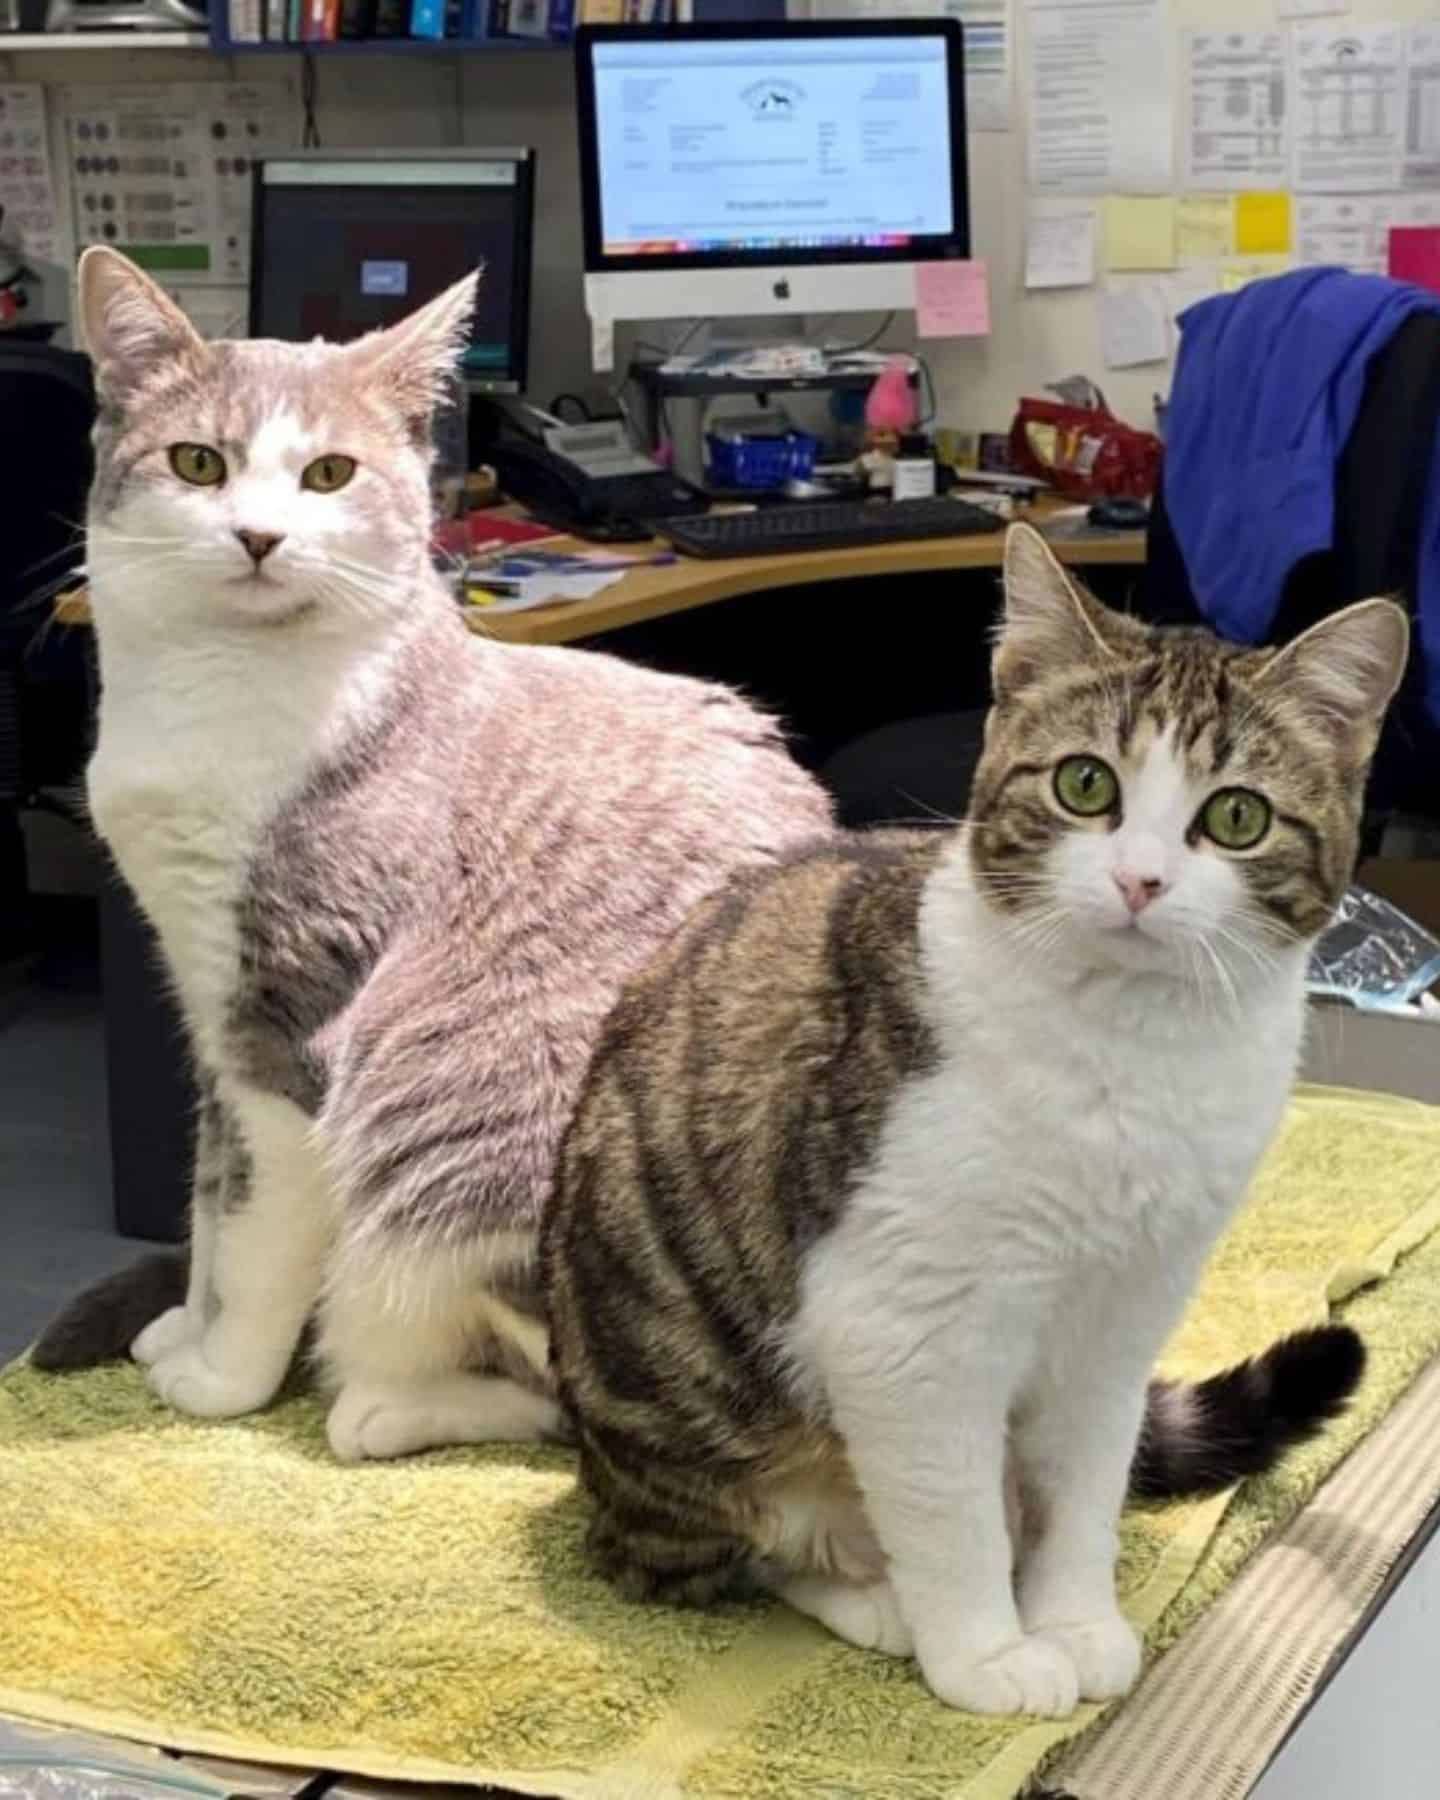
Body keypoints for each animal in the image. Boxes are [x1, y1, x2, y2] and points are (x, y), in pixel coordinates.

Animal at [62, 246, 831, 1454]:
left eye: (330, 474)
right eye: (198, 463)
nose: (260, 536)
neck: (213, 693)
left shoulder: (295, 1017)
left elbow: (262, 1232)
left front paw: (225, 1377)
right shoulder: (202, 989)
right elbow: (208, 1194)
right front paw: (183, 1324)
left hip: (461, 1126)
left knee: (562, 1391)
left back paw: (377, 1400)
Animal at [547, 522, 1404, 1713]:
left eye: (1236, 815)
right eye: (1085, 784)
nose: (1140, 881)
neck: (1129, 1059)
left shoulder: (1125, 1313)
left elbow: (1085, 1486)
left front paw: (1075, 1619)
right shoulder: (903, 1324)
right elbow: (948, 1518)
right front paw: (988, 1652)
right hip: (691, 1405)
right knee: (725, 1554)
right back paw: (872, 1598)